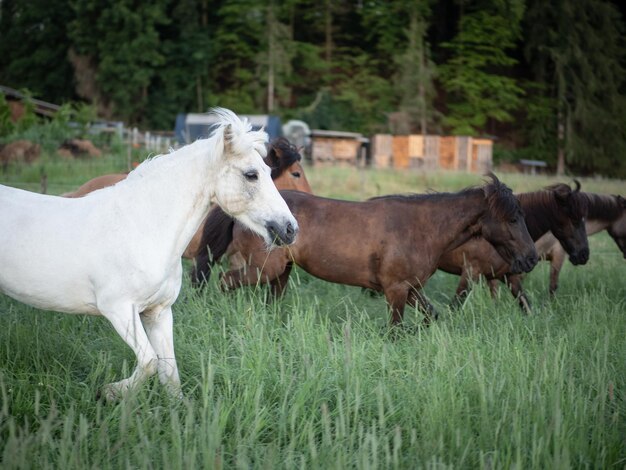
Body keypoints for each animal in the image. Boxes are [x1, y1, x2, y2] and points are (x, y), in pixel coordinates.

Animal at [195, 174, 536, 324]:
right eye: (513, 218)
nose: (530, 259)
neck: (421, 228)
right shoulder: (396, 290)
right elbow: (395, 330)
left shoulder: (411, 289)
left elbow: (433, 315)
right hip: (263, 270)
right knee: (225, 282)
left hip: (281, 273)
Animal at [436, 183, 588, 312]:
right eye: (575, 220)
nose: (584, 254)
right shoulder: (470, 273)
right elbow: (454, 307)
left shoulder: (508, 277)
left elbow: (525, 305)